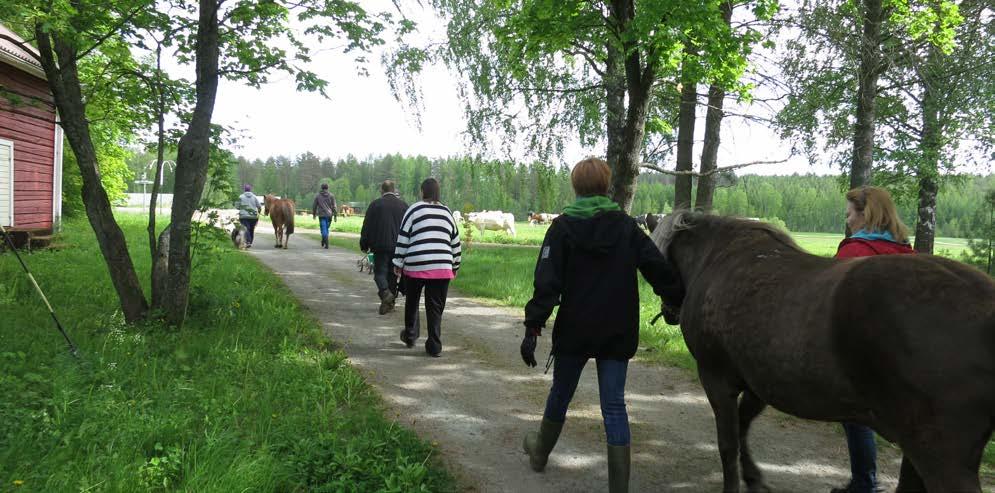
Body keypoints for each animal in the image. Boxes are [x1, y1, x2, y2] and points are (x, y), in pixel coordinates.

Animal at [652, 212, 995, 492]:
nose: (669, 311)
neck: (717, 258)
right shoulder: (759, 383)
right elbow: (743, 425)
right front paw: (753, 477)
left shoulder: (716, 378)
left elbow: (728, 442)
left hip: (939, 455)